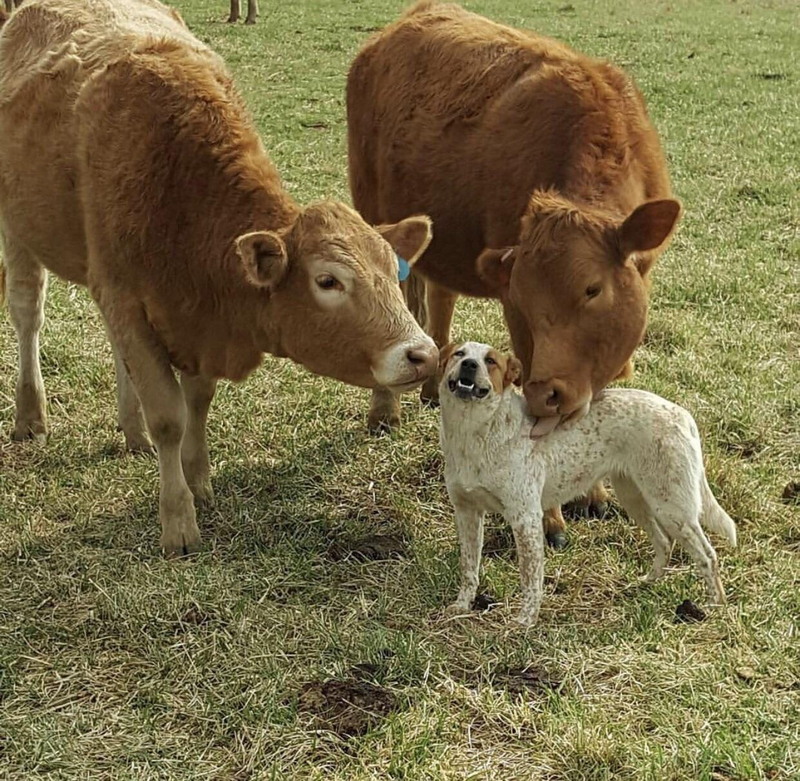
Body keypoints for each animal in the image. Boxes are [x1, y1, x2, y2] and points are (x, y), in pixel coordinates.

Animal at [0, 0, 438, 556]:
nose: (423, 354)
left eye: (392, 269)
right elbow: (169, 416)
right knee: (27, 315)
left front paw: (198, 477)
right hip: (17, 230)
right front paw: (178, 519)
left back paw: (131, 430)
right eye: (328, 281)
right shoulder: (124, 294)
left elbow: (197, 403)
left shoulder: (195, 318)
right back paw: (31, 415)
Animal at [348, 1, 680, 544]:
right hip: (375, 216)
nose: (550, 391)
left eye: (593, 289)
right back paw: (385, 409)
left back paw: (431, 386)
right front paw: (551, 516)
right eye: (523, 301)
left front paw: (593, 492)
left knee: (438, 298)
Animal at [438, 342, 736, 628]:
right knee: (664, 542)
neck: (472, 433)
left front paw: (525, 622)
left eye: (491, 361)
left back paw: (715, 608)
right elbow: (469, 568)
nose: (469, 364)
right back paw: (645, 584)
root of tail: (683, 415)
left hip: (673, 508)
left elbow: (531, 579)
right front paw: (461, 607)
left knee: (707, 555)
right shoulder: (467, 513)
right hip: (636, 499)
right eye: (459, 353)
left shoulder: (525, 518)